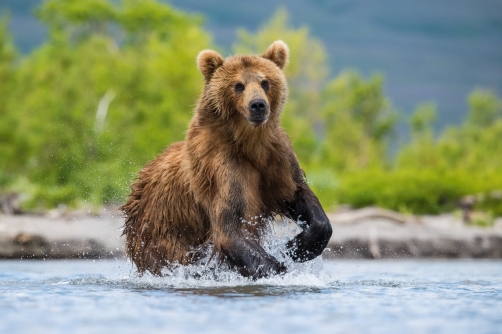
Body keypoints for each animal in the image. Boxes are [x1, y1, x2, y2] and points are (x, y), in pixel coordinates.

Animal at [120, 41, 334, 280]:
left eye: (265, 82)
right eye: (238, 85)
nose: (257, 105)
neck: (249, 143)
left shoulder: (277, 159)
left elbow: (298, 193)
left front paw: (295, 247)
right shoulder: (223, 167)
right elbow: (230, 226)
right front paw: (279, 266)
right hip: (162, 230)